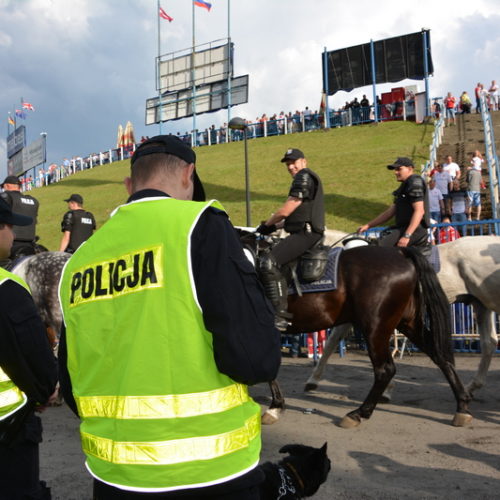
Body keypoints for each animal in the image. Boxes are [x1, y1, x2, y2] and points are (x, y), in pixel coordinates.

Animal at [241, 232, 472, 428]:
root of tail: (401, 254)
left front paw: (273, 406)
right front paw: (273, 406)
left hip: (375, 328)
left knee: (385, 369)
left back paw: (358, 413)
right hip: (407, 323)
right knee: (440, 356)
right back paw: (462, 406)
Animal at [304, 232, 500, 396]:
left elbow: (332, 341)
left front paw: (312, 380)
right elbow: (333, 341)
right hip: (481, 304)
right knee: (489, 342)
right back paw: (472, 386)